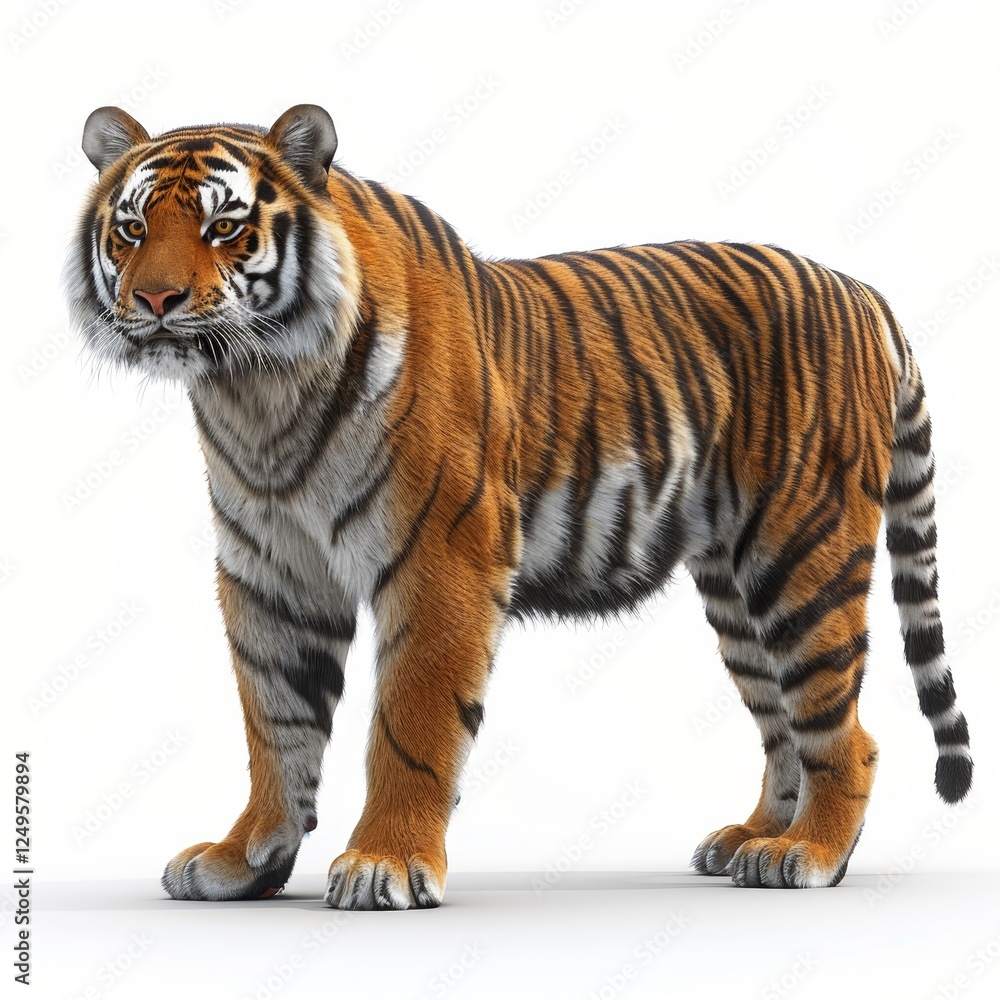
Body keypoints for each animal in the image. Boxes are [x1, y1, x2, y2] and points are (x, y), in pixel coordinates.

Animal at [64, 103, 972, 908]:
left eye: (224, 227)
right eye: (132, 229)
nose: (155, 302)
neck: (258, 391)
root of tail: (864, 291)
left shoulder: (441, 558)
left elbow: (411, 723)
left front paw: (385, 864)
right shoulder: (270, 572)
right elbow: (274, 725)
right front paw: (243, 860)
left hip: (802, 555)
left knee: (845, 732)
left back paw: (808, 855)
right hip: (737, 586)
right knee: (782, 722)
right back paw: (752, 839)